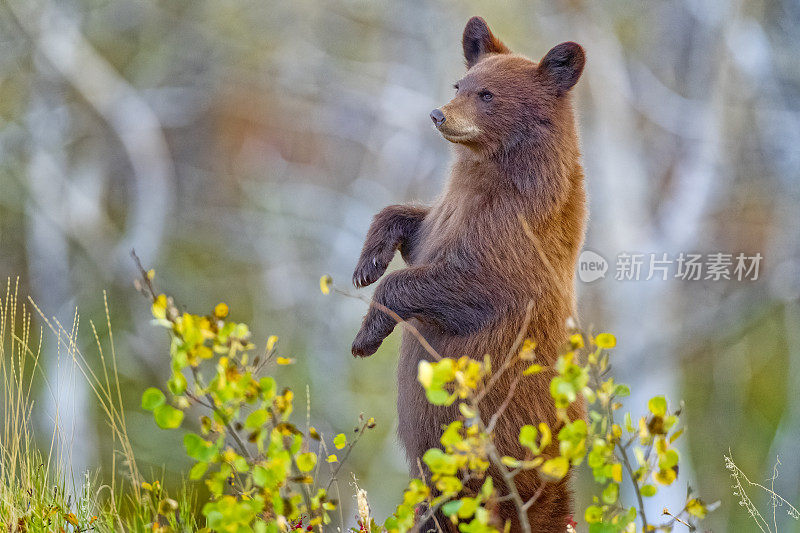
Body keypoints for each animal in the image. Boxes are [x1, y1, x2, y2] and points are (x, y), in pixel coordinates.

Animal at [354, 16, 584, 532]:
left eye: (488, 94)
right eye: (461, 84)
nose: (439, 115)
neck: (488, 173)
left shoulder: (515, 239)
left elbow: (467, 284)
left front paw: (367, 334)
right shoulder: (450, 212)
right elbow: (413, 226)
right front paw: (367, 263)